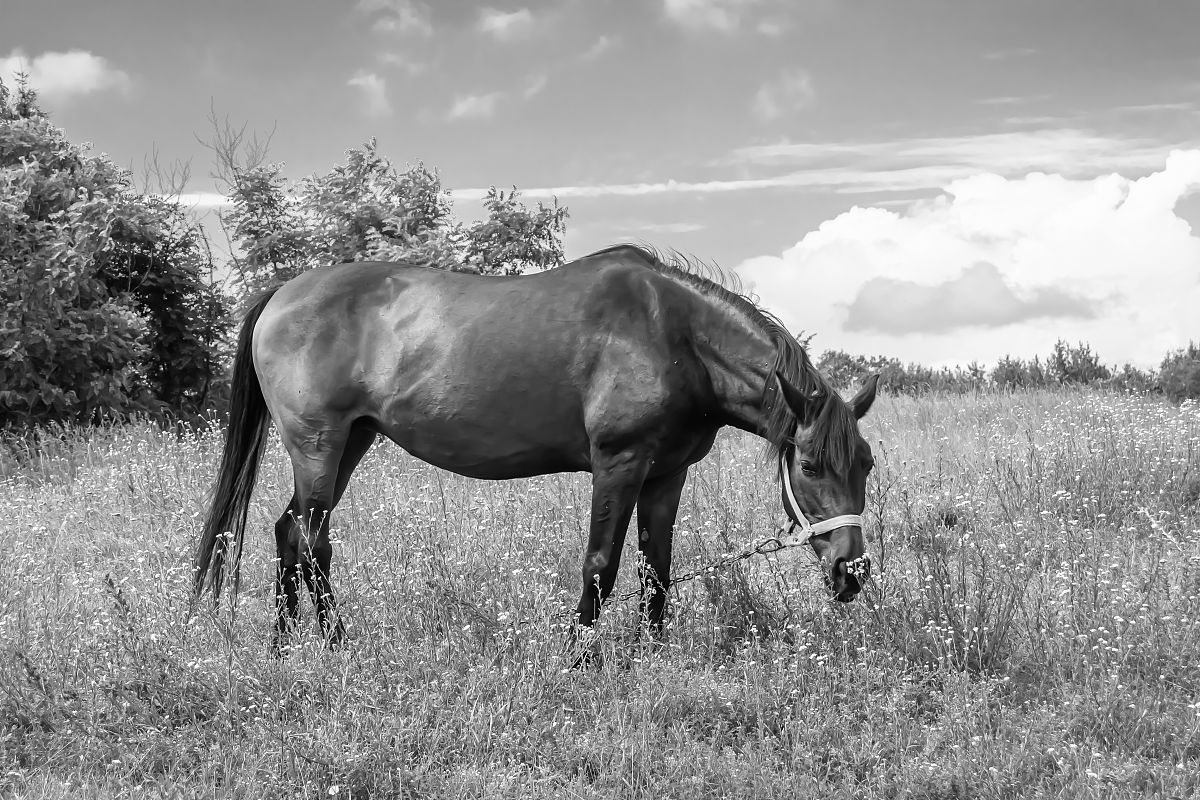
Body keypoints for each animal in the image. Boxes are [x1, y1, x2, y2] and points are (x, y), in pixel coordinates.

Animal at [193, 244, 879, 655]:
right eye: (809, 464)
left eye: (868, 465)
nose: (853, 572)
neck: (673, 334)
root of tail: (283, 293)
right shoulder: (619, 464)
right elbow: (602, 565)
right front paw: (580, 659)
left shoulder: (667, 475)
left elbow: (655, 568)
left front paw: (651, 656)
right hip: (319, 444)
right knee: (313, 540)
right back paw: (337, 645)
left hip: (349, 442)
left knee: (288, 532)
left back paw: (285, 648)